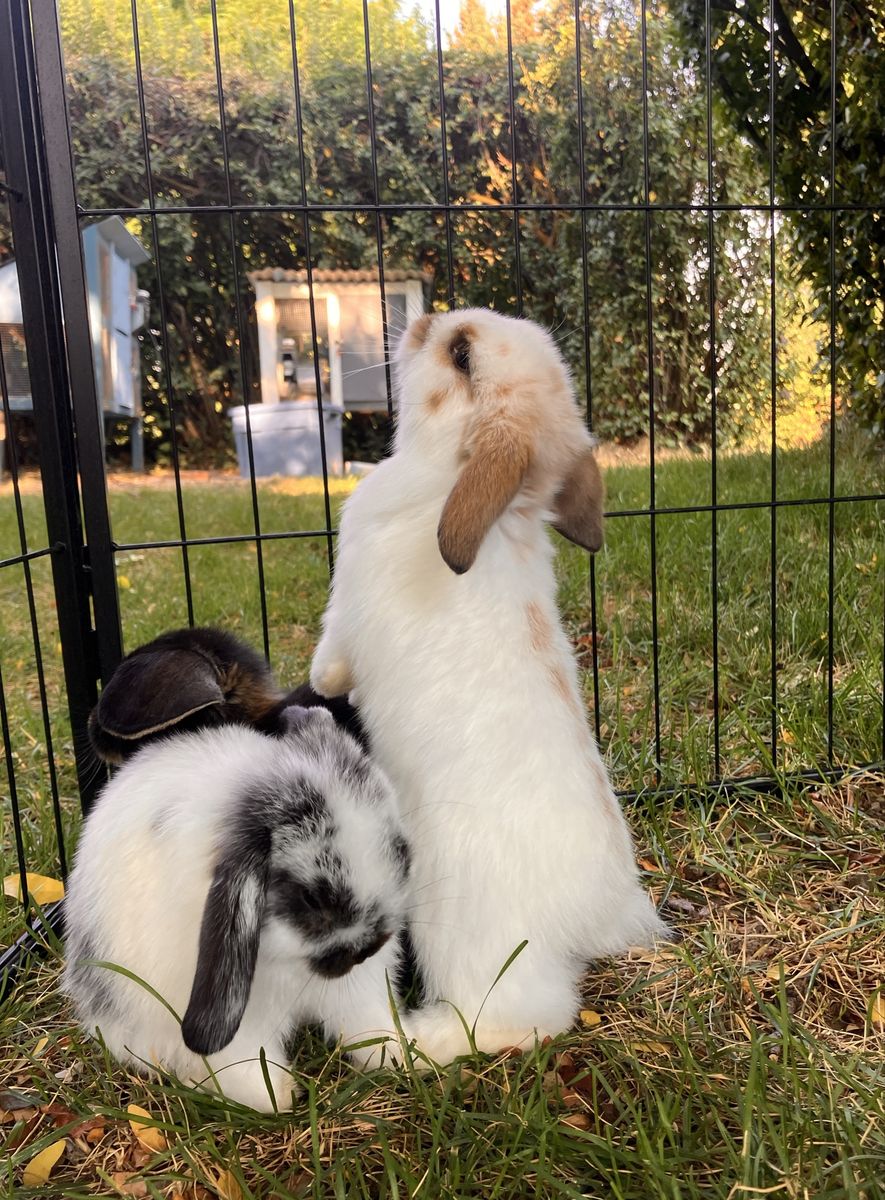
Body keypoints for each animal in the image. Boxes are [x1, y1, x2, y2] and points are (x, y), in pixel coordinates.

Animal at [62, 706, 409, 1111]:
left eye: (400, 851)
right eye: (312, 897)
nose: (368, 948)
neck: (290, 963)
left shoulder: (358, 990)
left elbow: (367, 1024)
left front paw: (402, 1055)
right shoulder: (236, 1027)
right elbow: (246, 1066)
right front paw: (278, 1095)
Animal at [311, 308, 669, 1066]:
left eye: (460, 355)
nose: (420, 321)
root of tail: (597, 919)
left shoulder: (347, 598)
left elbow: (332, 650)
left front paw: (322, 680)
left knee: (521, 1019)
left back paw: (417, 1038)